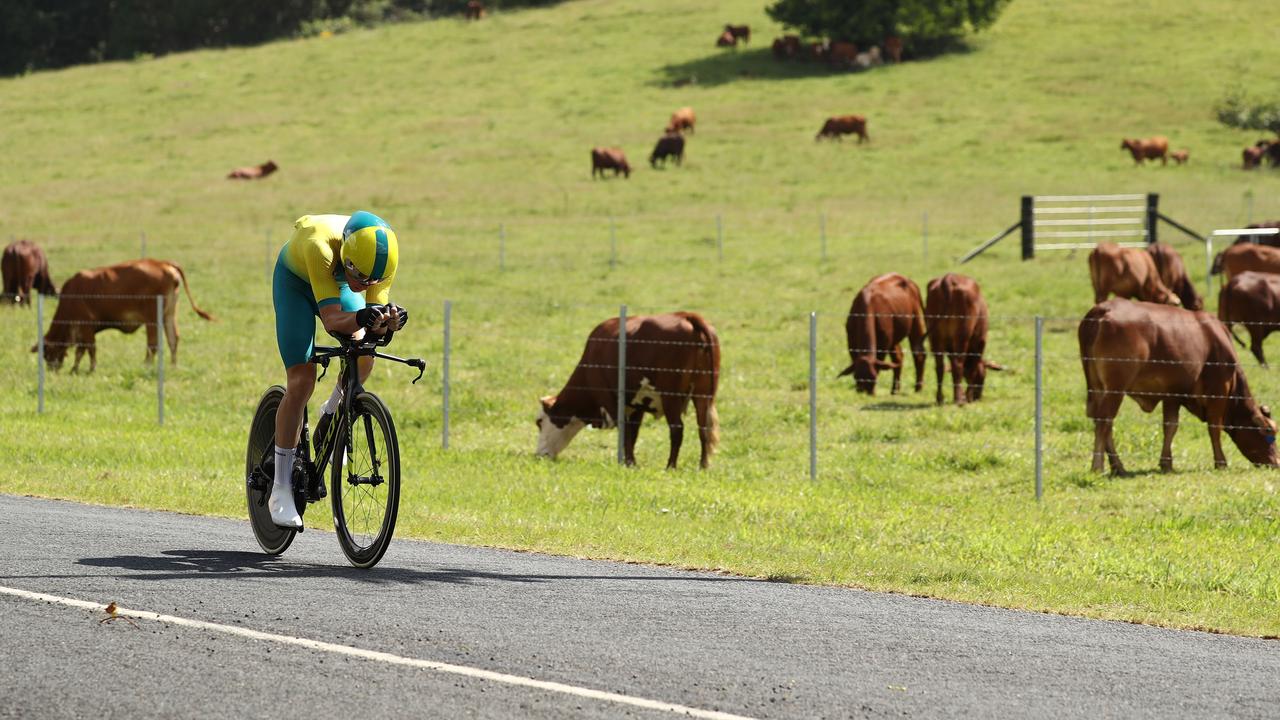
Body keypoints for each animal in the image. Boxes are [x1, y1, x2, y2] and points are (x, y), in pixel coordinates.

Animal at [32, 256, 215, 368]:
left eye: (46, 353)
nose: (52, 369)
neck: (72, 295)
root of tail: (162, 263)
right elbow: (82, 350)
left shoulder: (85, 326)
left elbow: (87, 350)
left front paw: (87, 369)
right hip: (169, 315)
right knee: (173, 340)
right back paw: (173, 366)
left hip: (152, 319)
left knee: (153, 344)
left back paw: (147, 365)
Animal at [535, 311, 721, 468]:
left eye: (539, 422)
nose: (538, 455)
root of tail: (686, 316)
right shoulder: (637, 405)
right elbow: (633, 433)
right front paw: (630, 462)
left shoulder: (611, 401)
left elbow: (625, 433)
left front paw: (629, 463)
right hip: (704, 395)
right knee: (704, 428)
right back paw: (703, 465)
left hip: (671, 397)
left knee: (677, 429)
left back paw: (670, 466)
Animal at [926, 271, 1003, 404]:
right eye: (983, 376)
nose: (978, 397)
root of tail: (949, 277)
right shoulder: (980, 342)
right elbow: (971, 369)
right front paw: (967, 396)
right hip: (962, 335)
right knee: (958, 364)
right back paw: (959, 400)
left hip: (935, 337)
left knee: (940, 366)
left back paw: (940, 398)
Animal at [1075, 299, 1274, 474]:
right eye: (1269, 431)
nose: (1276, 462)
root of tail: (1103, 309)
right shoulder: (1218, 391)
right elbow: (1214, 428)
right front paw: (1221, 462)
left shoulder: (1172, 394)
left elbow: (1170, 427)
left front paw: (1166, 463)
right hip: (1115, 388)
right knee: (1105, 421)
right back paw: (1098, 466)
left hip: (1097, 387)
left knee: (1100, 421)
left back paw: (1118, 467)